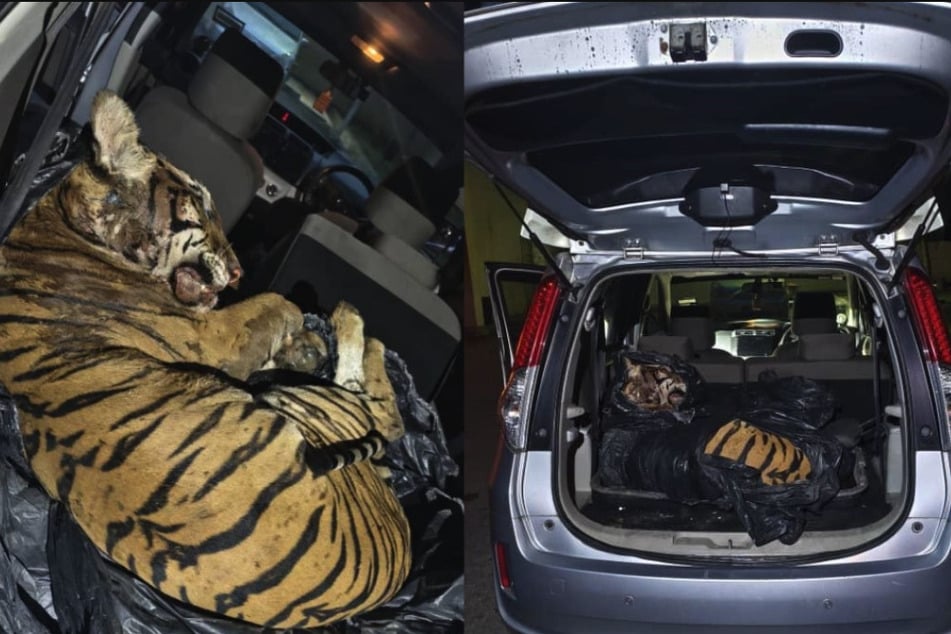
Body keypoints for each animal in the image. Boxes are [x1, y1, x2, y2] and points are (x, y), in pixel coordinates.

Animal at [0, 91, 410, 628]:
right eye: (198, 206)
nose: (237, 273)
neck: (67, 222)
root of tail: (398, 547)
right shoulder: (212, 336)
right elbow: (280, 302)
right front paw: (303, 331)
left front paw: (302, 343)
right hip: (320, 408)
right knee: (381, 411)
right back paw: (352, 322)